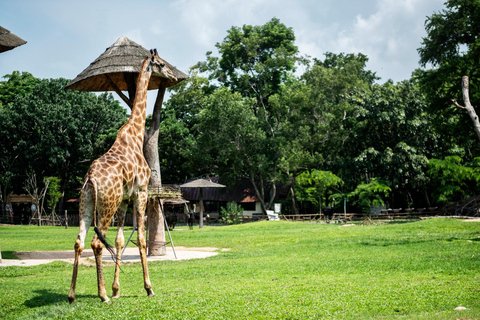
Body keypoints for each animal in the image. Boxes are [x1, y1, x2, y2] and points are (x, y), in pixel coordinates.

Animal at [68, 48, 177, 302]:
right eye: (162, 64)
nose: (174, 76)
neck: (136, 133)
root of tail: (92, 179)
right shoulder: (142, 192)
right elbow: (141, 239)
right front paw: (148, 288)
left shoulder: (125, 200)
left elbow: (119, 241)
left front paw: (117, 289)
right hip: (107, 203)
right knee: (96, 242)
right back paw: (102, 295)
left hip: (87, 202)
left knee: (79, 241)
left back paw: (72, 295)